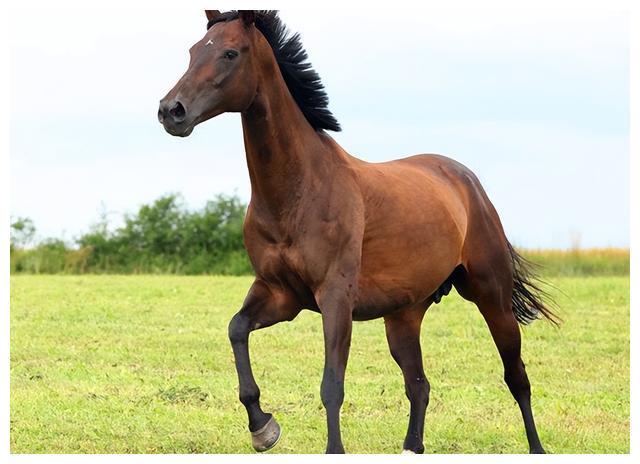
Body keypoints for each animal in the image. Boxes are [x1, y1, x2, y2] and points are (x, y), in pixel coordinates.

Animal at [158, 10, 556, 454]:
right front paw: (263, 427)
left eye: (230, 53)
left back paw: (537, 447)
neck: (300, 191)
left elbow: (332, 384)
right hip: (403, 317)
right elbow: (236, 329)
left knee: (516, 378)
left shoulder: (335, 298)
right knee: (419, 386)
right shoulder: (279, 294)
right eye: (193, 50)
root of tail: (467, 182)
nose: (171, 110)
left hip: (491, 297)